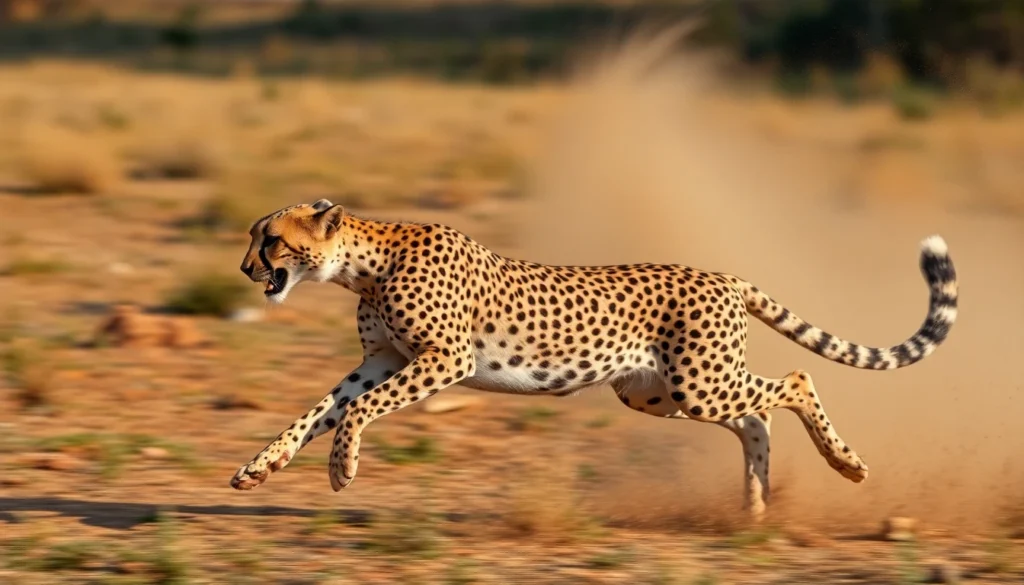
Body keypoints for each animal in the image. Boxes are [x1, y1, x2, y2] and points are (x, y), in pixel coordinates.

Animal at [230, 198, 958, 521]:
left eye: (271, 240)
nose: (243, 269)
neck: (366, 263)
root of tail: (724, 275)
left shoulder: (445, 359)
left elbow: (356, 413)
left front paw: (341, 469)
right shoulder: (381, 360)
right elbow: (320, 411)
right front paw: (258, 467)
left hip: (699, 380)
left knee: (798, 380)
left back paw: (845, 464)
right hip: (658, 391)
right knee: (757, 416)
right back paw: (752, 507)